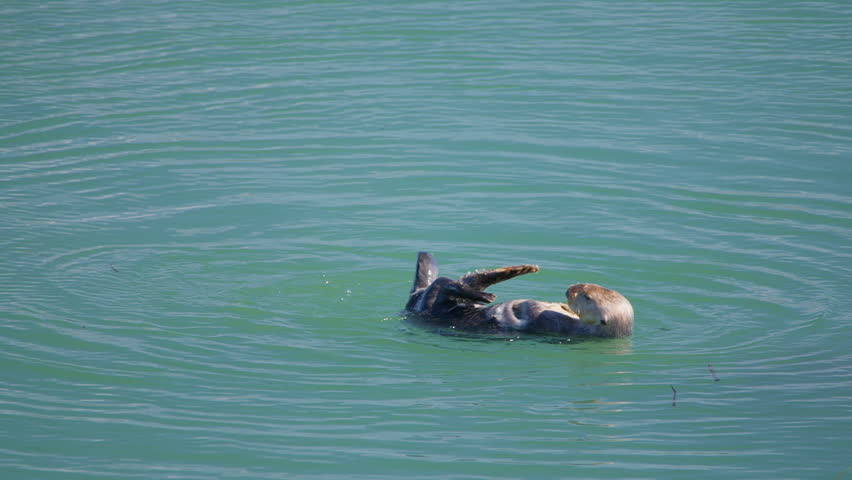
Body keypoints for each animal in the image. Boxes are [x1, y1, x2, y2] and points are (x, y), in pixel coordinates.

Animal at [405, 252, 633, 338]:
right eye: (588, 286)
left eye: (587, 297)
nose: (569, 290)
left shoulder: (553, 322)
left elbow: (534, 311)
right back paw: (519, 270)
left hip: (433, 305)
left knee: (446, 286)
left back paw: (486, 295)